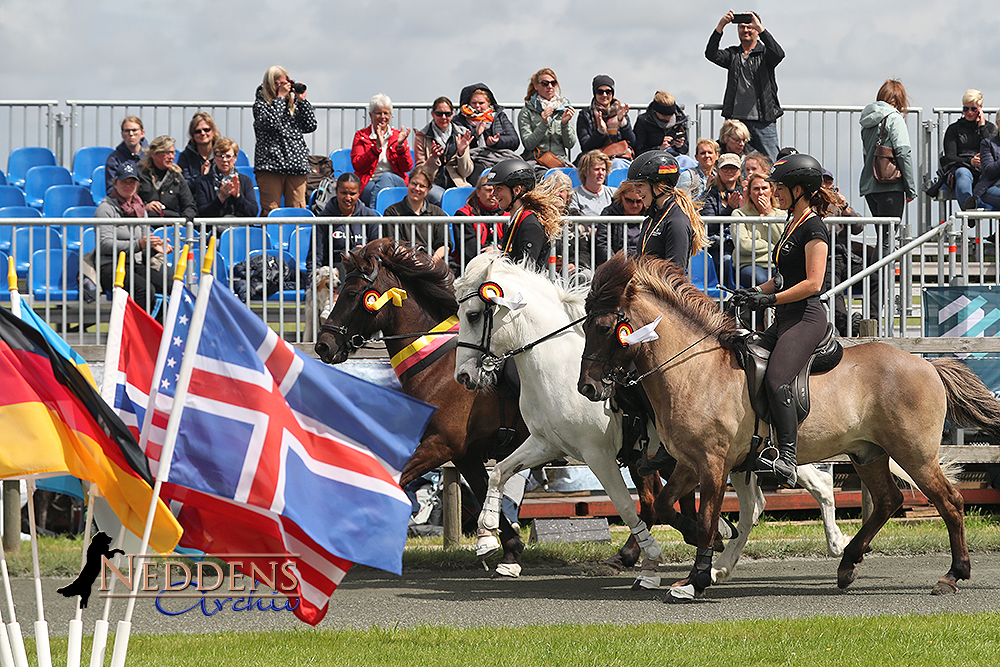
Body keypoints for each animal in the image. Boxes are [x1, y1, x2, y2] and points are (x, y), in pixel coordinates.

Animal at [454, 253, 852, 588]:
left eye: (473, 315)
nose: (463, 376)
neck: (555, 362)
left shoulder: (599, 455)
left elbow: (629, 506)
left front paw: (658, 556)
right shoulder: (546, 444)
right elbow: (498, 472)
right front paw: (487, 536)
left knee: (808, 482)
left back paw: (835, 543)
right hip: (741, 457)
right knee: (766, 500)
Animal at [580, 254, 1000, 600]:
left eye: (604, 327)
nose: (587, 388)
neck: (693, 369)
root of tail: (927, 364)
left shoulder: (713, 463)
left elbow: (704, 516)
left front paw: (697, 577)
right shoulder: (688, 461)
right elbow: (668, 506)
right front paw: (713, 546)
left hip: (915, 453)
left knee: (950, 502)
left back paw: (952, 575)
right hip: (867, 452)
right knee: (887, 500)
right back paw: (847, 564)